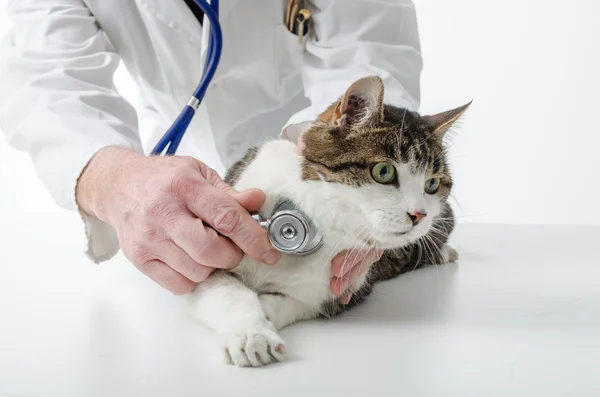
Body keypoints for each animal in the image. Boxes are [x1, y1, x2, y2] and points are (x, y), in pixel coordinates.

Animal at [186, 76, 468, 366]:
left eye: (432, 184)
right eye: (383, 171)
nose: (419, 215)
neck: (322, 227)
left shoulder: (337, 291)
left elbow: (290, 303)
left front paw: (265, 314)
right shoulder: (213, 251)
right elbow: (226, 292)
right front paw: (250, 334)